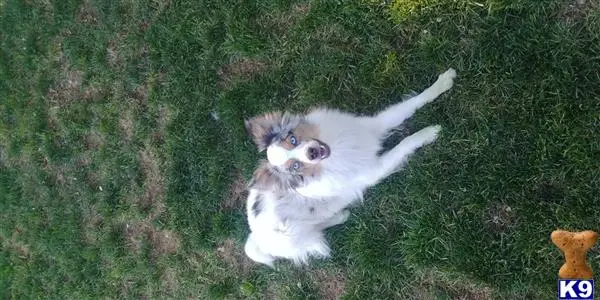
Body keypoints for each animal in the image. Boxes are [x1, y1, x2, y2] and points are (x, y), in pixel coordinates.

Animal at [241, 68, 458, 268]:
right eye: (295, 167)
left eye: (292, 139)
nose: (312, 152)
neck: (335, 151)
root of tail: (254, 234)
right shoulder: (375, 169)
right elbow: (405, 143)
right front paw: (428, 133)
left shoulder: (374, 125)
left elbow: (411, 104)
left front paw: (441, 84)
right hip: (297, 235)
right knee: (317, 227)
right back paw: (340, 216)